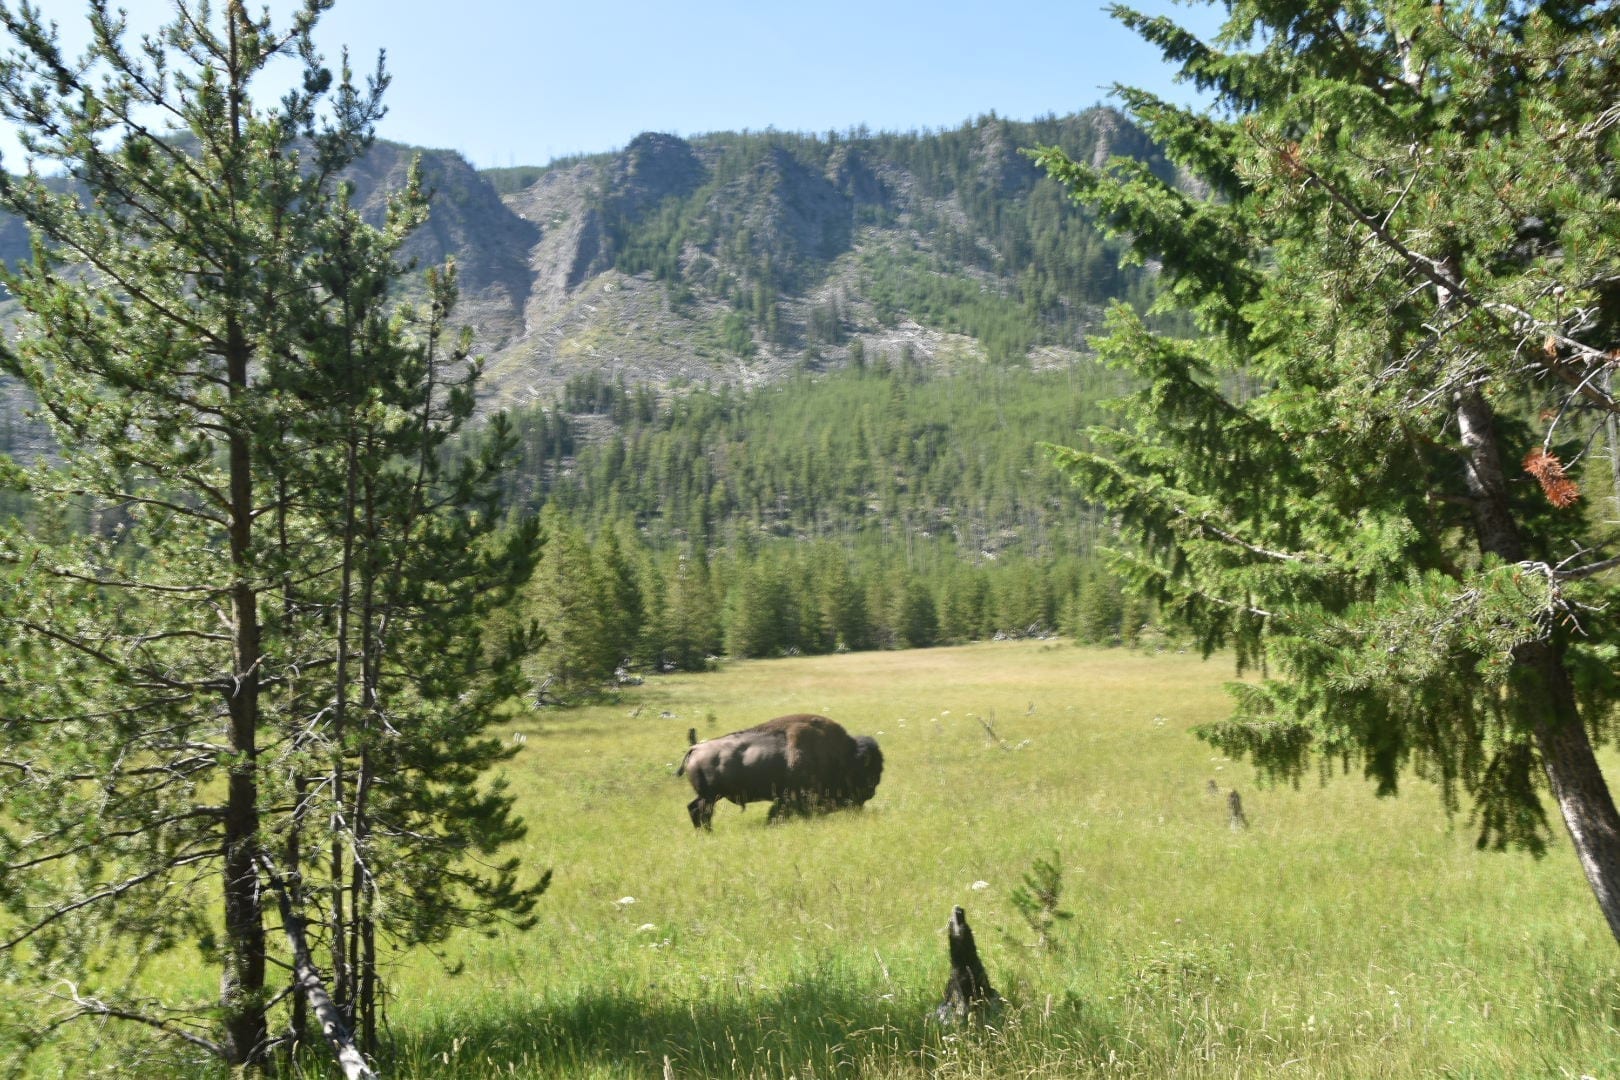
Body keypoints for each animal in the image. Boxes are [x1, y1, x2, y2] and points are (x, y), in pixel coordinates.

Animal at [680, 712, 894, 835]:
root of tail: (695, 748)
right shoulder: (793, 797)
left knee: (694, 809)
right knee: (700, 811)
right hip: (710, 796)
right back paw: (708, 833)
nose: (871, 792)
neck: (841, 755)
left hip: (710, 796)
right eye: (867, 772)